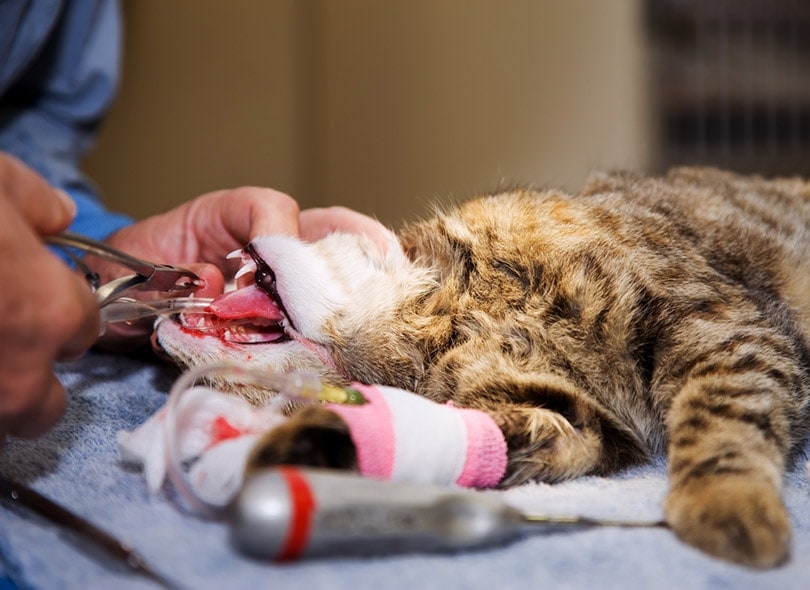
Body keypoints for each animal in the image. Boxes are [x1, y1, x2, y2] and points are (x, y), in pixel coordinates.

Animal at [152, 166, 808, 568]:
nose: (158, 343)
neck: (453, 315)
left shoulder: (712, 318)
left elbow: (724, 414)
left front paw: (727, 503)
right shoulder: (573, 419)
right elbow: (482, 439)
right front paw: (302, 449)